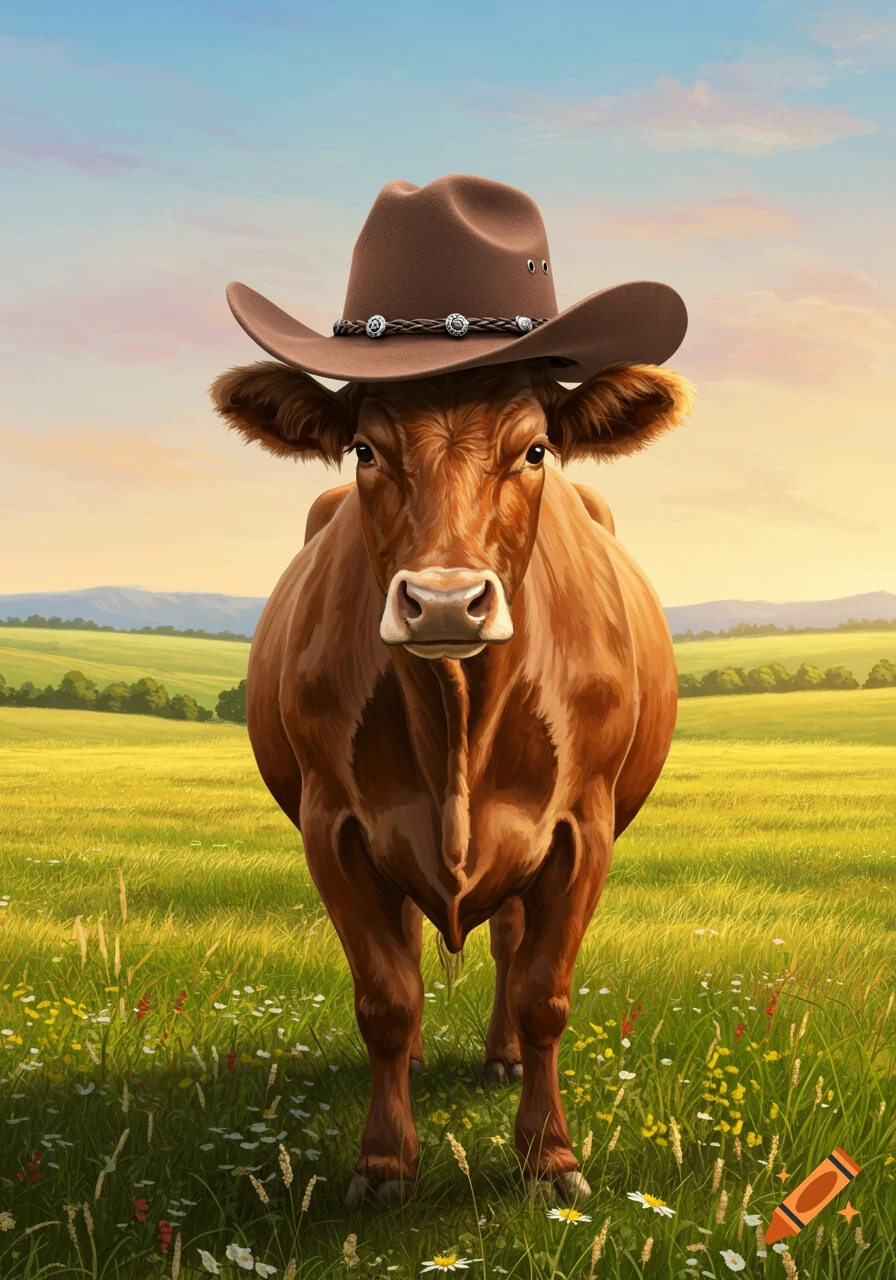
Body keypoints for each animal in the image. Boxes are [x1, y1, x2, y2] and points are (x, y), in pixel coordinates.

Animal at [210, 353, 694, 1207]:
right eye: (366, 450)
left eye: (534, 450)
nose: (443, 603)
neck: (458, 710)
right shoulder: (333, 827)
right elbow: (385, 997)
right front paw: (383, 1162)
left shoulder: (583, 827)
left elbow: (544, 993)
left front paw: (550, 1158)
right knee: (410, 941)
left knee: (508, 943)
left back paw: (502, 1058)